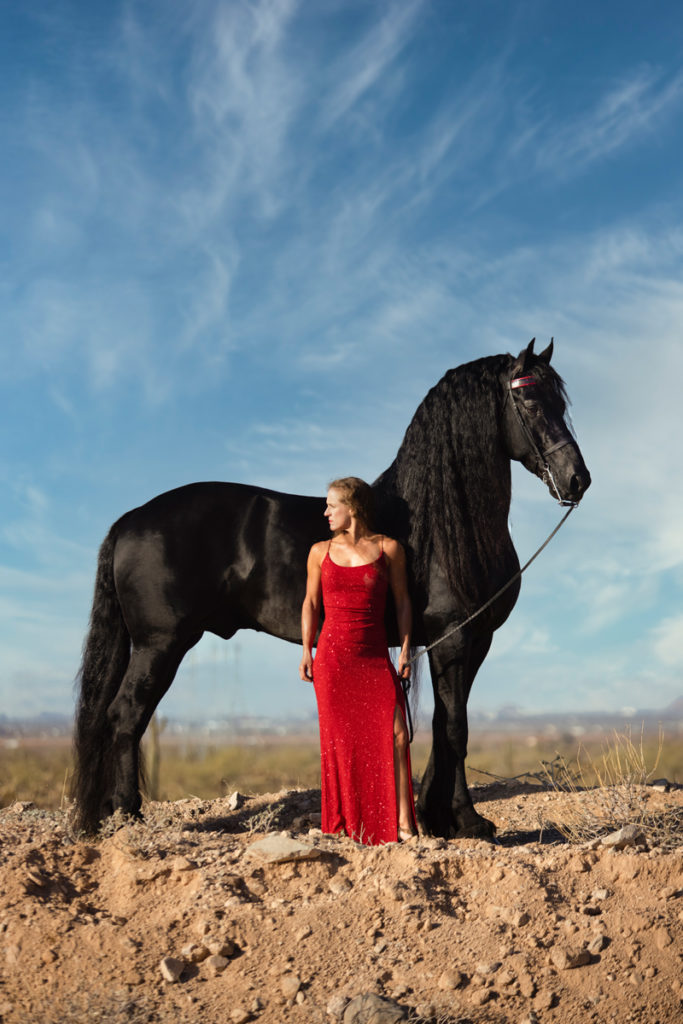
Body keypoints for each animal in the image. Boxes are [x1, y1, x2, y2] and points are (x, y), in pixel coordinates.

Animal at [72, 339, 589, 835]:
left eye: (560, 402)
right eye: (529, 399)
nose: (577, 480)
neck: (444, 523)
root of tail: (131, 520)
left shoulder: (474, 641)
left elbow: (446, 726)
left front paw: (438, 815)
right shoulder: (453, 638)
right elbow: (455, 727)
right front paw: (467, 821)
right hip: (160, 644)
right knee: (125, 715)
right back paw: (127, 815)